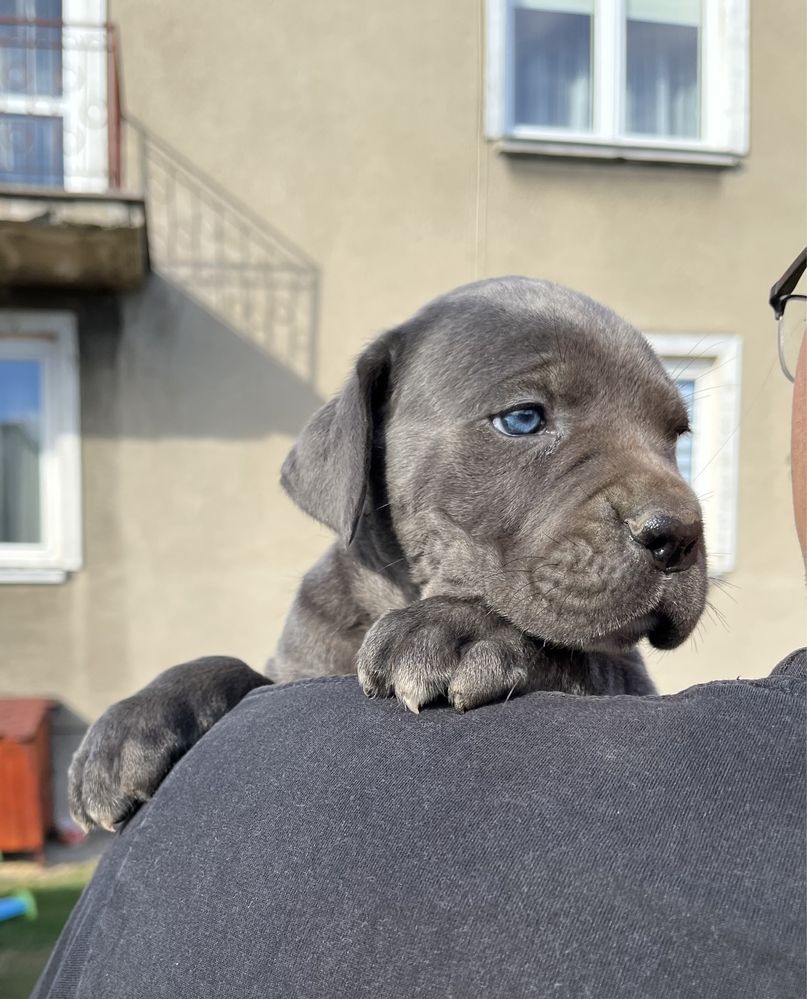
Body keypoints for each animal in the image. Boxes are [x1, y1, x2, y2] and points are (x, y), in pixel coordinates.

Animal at [69, 278, 708, 832]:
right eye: (523, 418)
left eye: (676, 437)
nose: (679, 532)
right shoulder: (294, 667)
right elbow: (229, 665)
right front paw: (135, 722)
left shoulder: (626, 678)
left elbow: (580, 655)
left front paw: (465, 630)